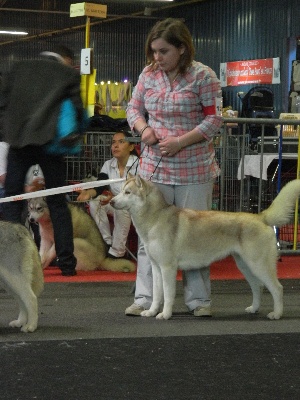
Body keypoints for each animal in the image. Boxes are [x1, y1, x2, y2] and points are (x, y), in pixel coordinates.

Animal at [111, 177, 300, 320]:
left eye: (127, 192)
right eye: (120, 191)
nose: (111, 201)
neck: (155, 218)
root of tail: (260, 217)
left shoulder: (168, 268)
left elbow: (168, 294)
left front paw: (165, 314)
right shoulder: (156, 268)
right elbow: (157, 294)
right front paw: (151, 312)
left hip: (258, 265)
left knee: (277, 288)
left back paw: (277, 314)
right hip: (245, 265)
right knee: (258, 286)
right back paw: (254, 308)